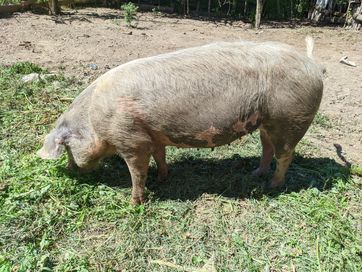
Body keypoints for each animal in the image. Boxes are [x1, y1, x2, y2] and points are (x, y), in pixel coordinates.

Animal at [38, 36, 324, 204]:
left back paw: (273, 186)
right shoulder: (153, 134)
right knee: (267, 148)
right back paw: (256, 174)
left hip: (289, 118)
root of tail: (311, 64)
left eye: (67, 149)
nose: (71, 171)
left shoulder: (132, 139)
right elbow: (160, 156)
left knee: (285, 154)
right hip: (267, 122)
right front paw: (164, 177)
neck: (95, 123)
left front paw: (133, 202)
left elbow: (137, 172)